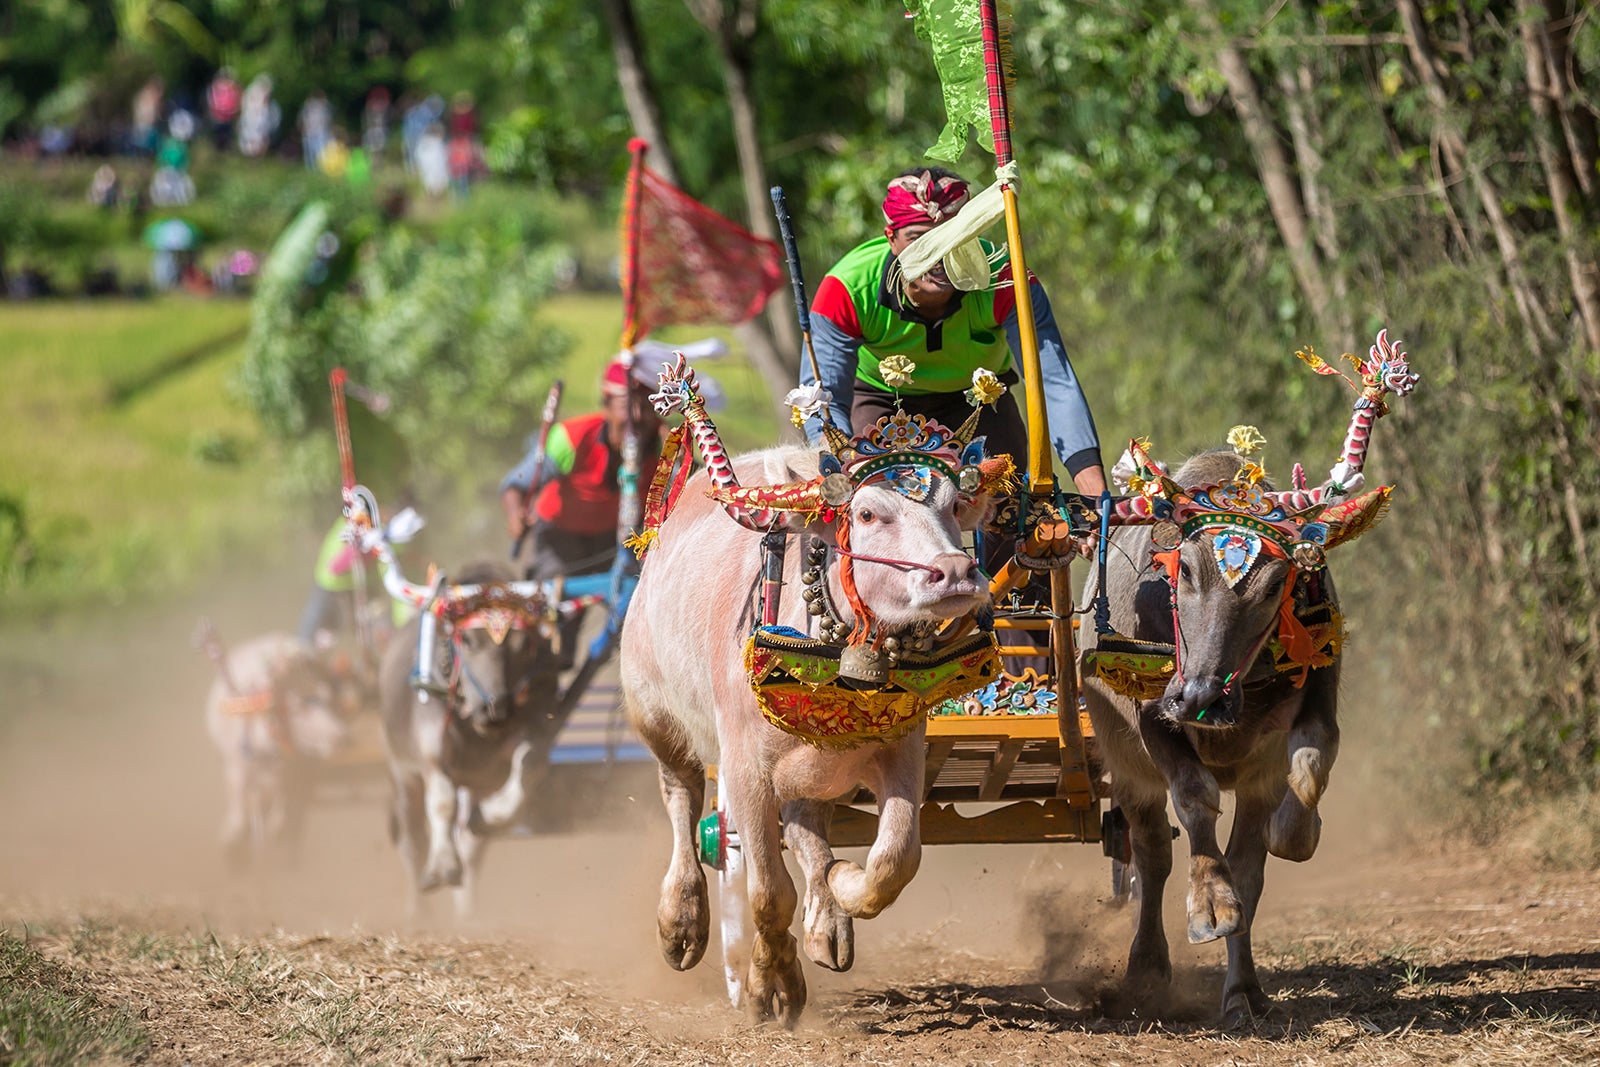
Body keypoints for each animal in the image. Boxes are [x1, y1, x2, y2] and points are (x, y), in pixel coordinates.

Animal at [203, 633, 347, 870]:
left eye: (328, 698)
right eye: (299, 706)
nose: (343, 737)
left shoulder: (283, 767)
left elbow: (280, 791)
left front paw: (276, 825)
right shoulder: (235, 764)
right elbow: (237, 798)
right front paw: (232, 836)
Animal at [377, 559, 566, 921]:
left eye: (522, 645)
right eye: (466, 639)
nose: (495, 707)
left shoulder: (528, 734)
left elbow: (530, 770)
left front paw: (491, 816)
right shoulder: (432, 755)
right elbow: (442, 802)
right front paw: (442, 866)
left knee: (470, 846)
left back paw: (468, 913)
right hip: (401, 773)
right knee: (411, 839)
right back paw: (419, 909)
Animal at [617, 438, 992, 1030]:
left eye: (954, 506)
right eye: (867, 514)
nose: (955, 572)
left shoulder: (903, 750)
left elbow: (895, 857)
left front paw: (843, 885)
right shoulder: (744, 770)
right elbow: (770, 893)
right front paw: (769, 984)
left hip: (813, 769)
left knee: (805, 825)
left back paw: (828, 920)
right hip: (656, 717)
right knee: (682, 797)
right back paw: (681, 921)